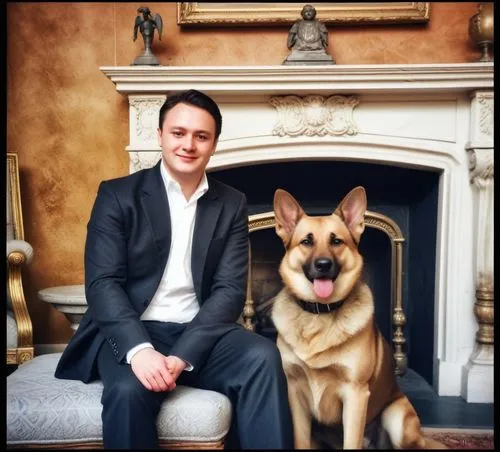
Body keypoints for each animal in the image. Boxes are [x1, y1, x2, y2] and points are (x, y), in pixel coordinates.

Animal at [270, 186, 446, 448]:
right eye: (306, 242)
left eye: (336, 241)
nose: (323, 265)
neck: (319, 313)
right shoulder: (295, 394)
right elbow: (300, 441)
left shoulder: (355, 395)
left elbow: (351, 442)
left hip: (395, 418)